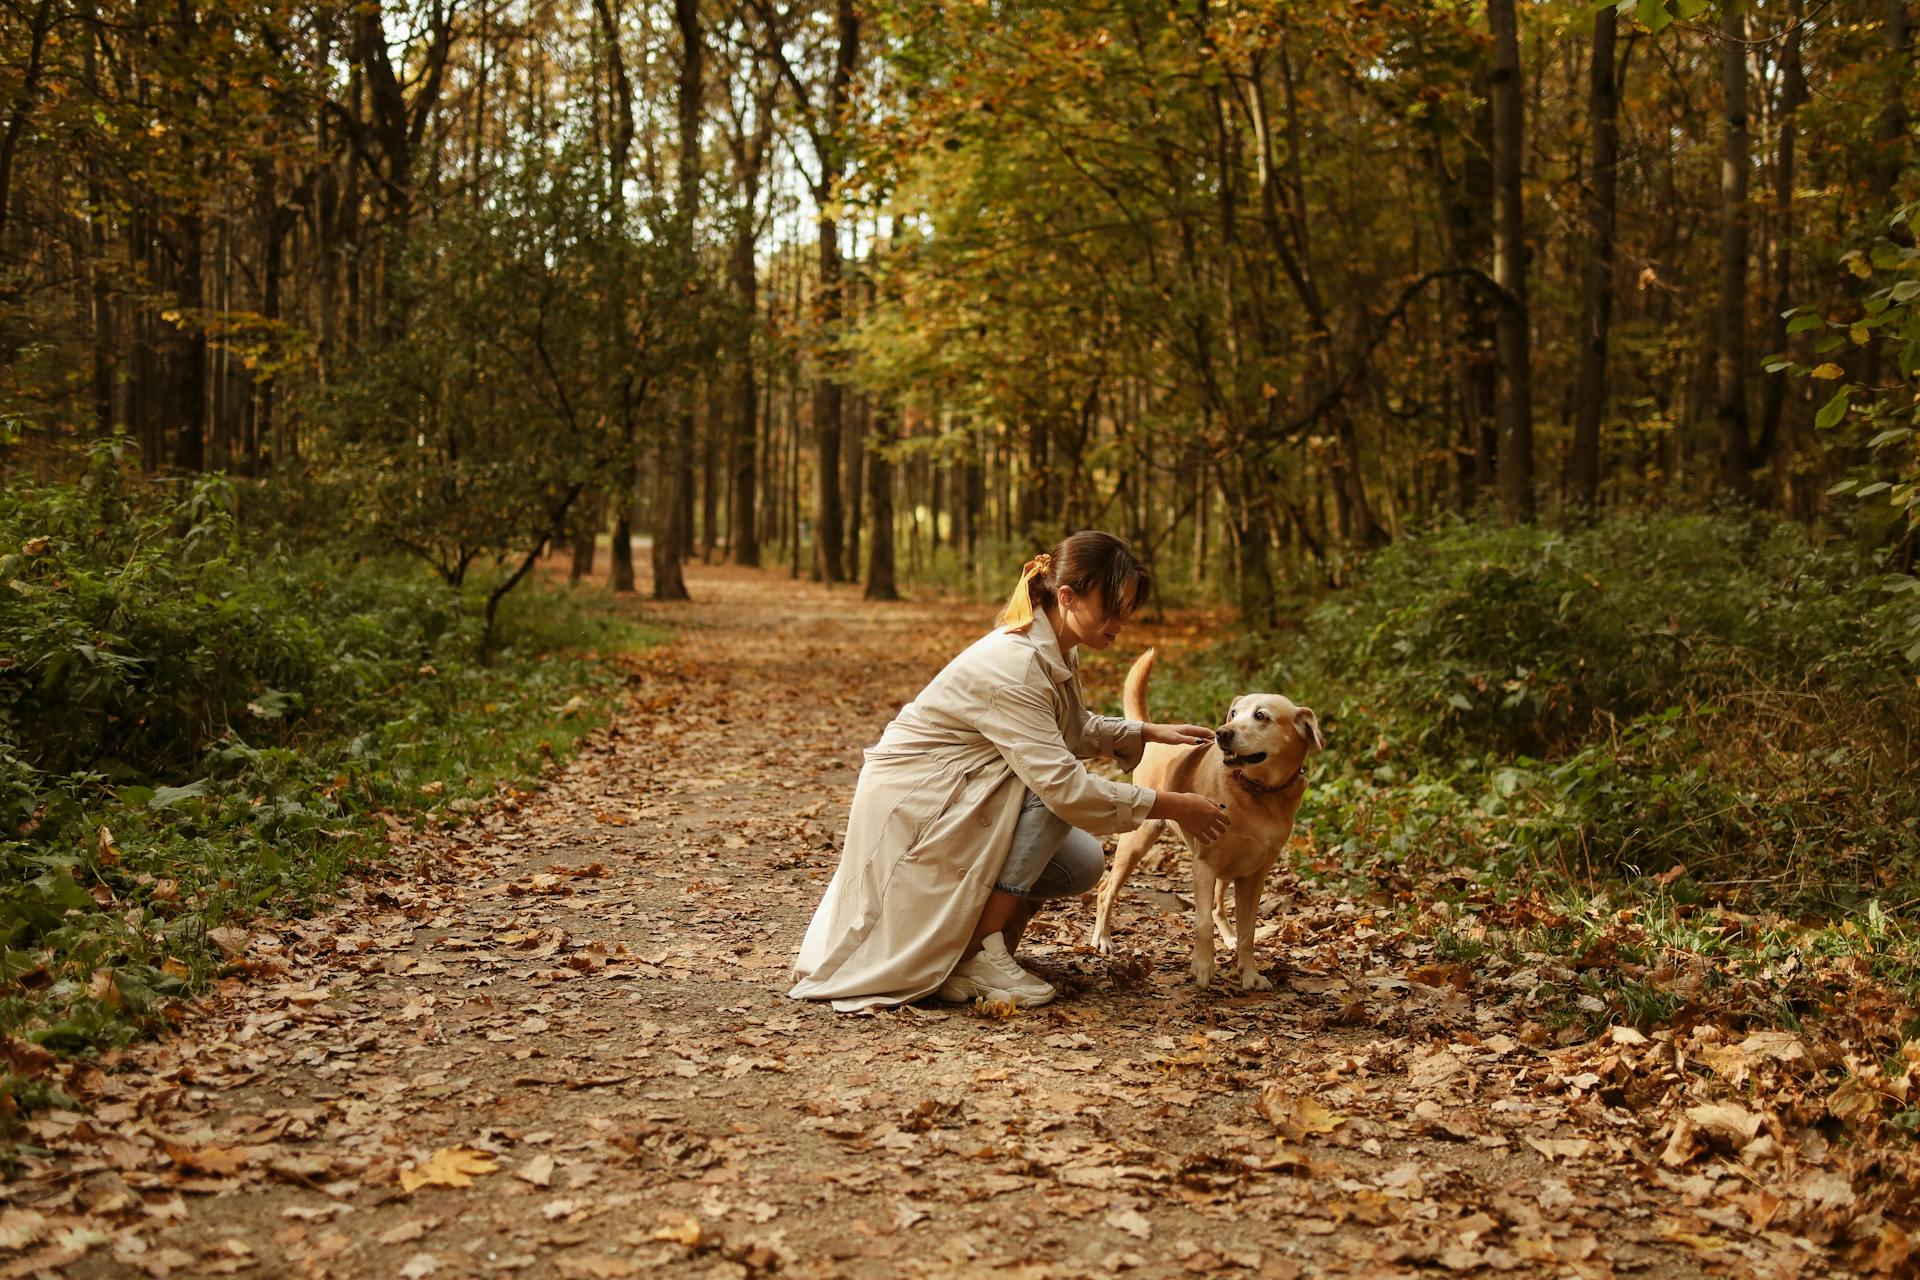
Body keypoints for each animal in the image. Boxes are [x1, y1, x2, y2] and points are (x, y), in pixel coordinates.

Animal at [1098, 652, 1320, 990]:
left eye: (1261, 716)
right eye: (1234, 713)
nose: (1222, 732)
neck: (1257, 793)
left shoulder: (1254, 876)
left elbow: (1248, 933)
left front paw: (1249, 973)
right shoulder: (1204, 865)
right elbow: (1201, 922)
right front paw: (1202, 968)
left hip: (1230, 867)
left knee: (1218, 907)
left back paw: (1227, 937)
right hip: (1137, 841)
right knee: (1105, 890)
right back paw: (1102, 938)